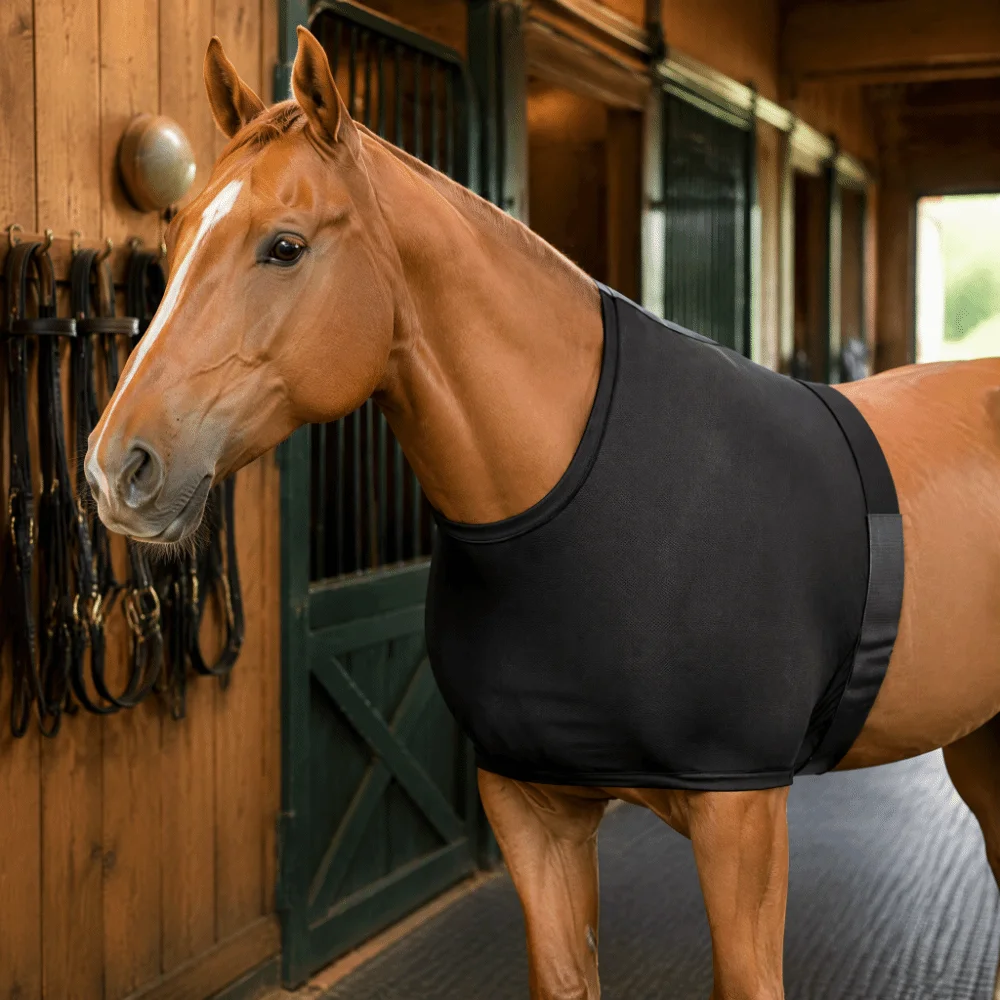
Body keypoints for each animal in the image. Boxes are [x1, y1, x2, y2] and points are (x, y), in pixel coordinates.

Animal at [85, 27, 1000, 1000]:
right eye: (178, 232)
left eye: (285, 246)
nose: (115, 466)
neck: (570, 487)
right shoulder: (532, 813)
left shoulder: (743, 819)